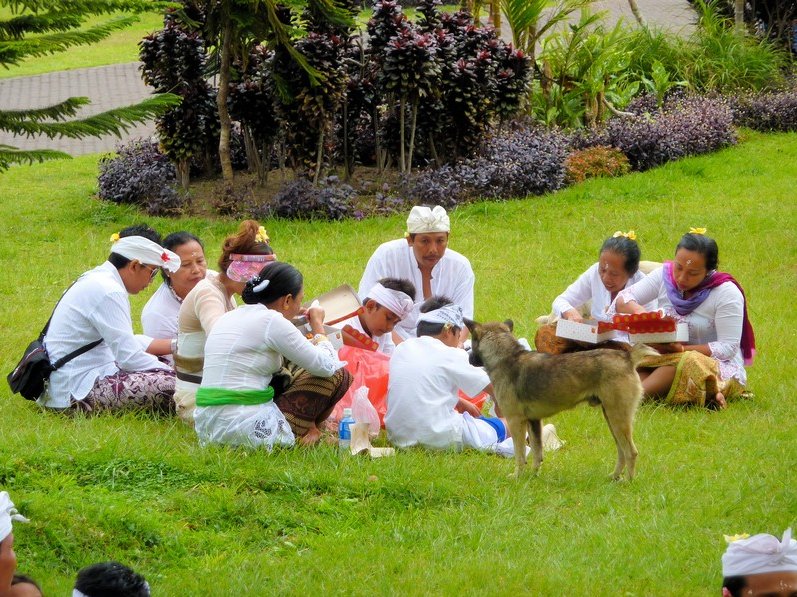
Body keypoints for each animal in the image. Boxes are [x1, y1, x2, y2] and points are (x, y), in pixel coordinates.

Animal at [464, 316, 656, 480]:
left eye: (472, 342)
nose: (469, 360)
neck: (505, 356)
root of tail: (627, 357)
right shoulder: (534, 421)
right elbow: (537, 452)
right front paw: (533, 476)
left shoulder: (515, 421)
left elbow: (520, 454)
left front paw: (517, 476)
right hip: (612, 417)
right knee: (622, 451)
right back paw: (614, 477)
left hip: (618, 418)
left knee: (630, 452)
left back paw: (627, 481)